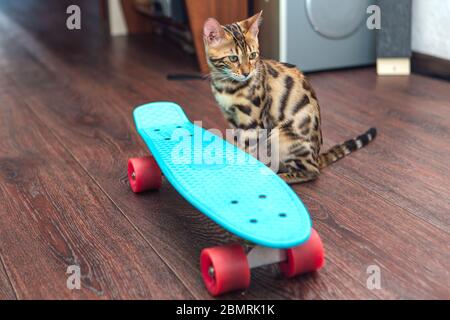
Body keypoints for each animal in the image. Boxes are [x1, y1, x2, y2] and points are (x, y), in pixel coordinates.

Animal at [203, 12, 376, 184]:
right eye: (233, 58)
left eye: (253, 55)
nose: (247, 73)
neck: (226, 85)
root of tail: (317, 156)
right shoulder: (233, 120)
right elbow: (238, 147)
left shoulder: (252, 124)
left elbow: (249, 152)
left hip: (281, 136)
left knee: (311, 171)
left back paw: (279, 176)